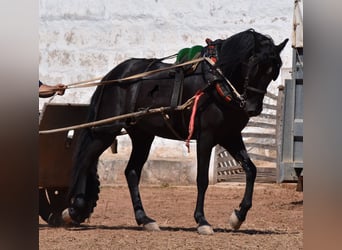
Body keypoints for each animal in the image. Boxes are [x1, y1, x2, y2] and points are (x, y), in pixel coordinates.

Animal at [62, 28, 288, 234]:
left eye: (273, 72)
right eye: (253, 65)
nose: (252, 107)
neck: (216, 82)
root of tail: (114, 75)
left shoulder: (230, 135)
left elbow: (251, 169)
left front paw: (238, 216)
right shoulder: (206, 136)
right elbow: (202, 179)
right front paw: (202, 220)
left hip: (142, 136)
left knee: (131, 172)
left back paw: (144, 219)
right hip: (107, 130)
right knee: (85, 160)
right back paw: (75, 208)